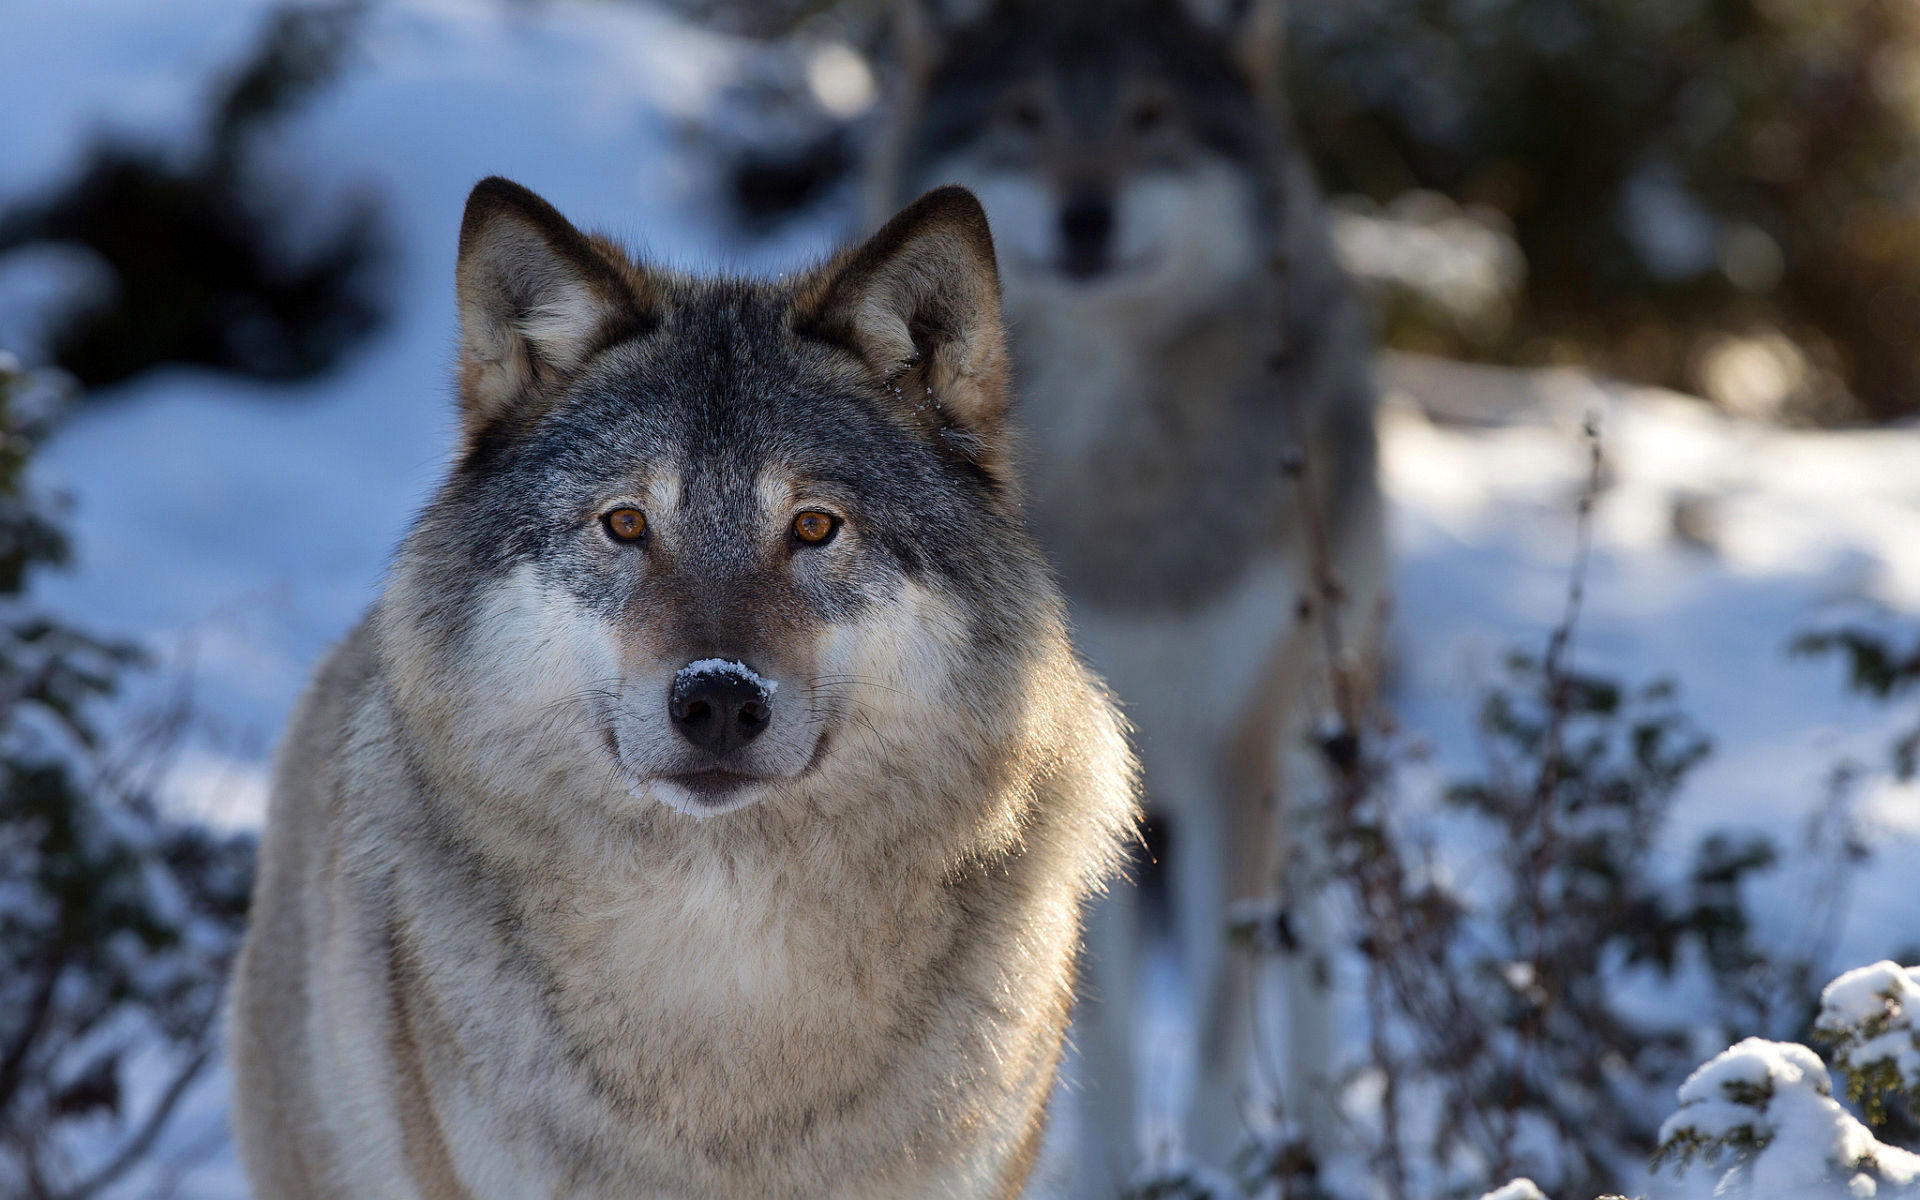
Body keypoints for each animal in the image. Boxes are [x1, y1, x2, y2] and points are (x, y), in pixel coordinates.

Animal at [867, 0, 1382, 1182]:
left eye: (1153, 118)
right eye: (1024, 116)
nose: (1086, 216)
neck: (1120, 480)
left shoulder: (1243, 748)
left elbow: (1221, 1020)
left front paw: (1211, 1168)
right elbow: (1084, 1024)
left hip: (1317, 743)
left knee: (1313, 953)